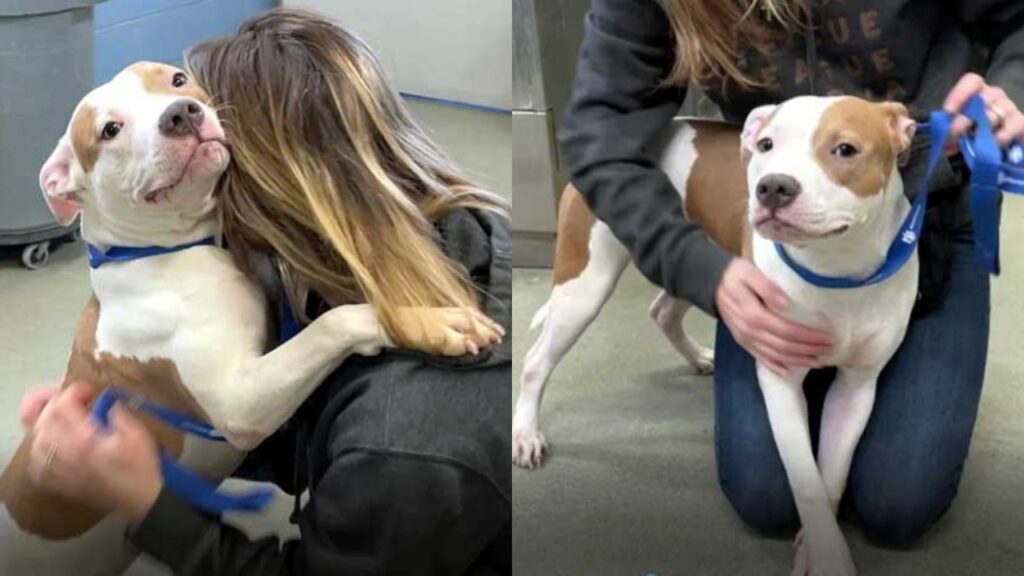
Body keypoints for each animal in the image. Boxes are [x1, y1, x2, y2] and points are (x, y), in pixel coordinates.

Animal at [0, 62, 495, 573]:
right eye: (110, 130)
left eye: (176, 80)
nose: (181, 114)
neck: (176, 249)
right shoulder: (238, 404)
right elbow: (333, 322)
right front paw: (429, 322)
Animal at [520, 96, 921, 569]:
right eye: (766, 144)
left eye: (845, 149)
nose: (772, 187)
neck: (836, 270)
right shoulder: (780, 379)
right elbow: (806, 483)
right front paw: (827, 558)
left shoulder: (856, 389)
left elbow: (831, 478)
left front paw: (813, 546)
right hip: (588, 284)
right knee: (535, 362)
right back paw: (526, 434)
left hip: (697, 261)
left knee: (662, 311)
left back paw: (698, 357)